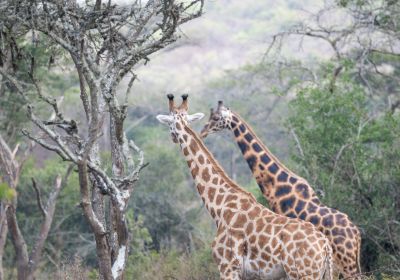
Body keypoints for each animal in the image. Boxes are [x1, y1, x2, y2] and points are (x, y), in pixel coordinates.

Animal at [156, 94, 334, 280]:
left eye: (169, 123)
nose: (173, 137)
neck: (219, 207)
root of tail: (325, 246)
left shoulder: (227, 267)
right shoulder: (248, 274)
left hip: (302, 274)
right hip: (321, 273)